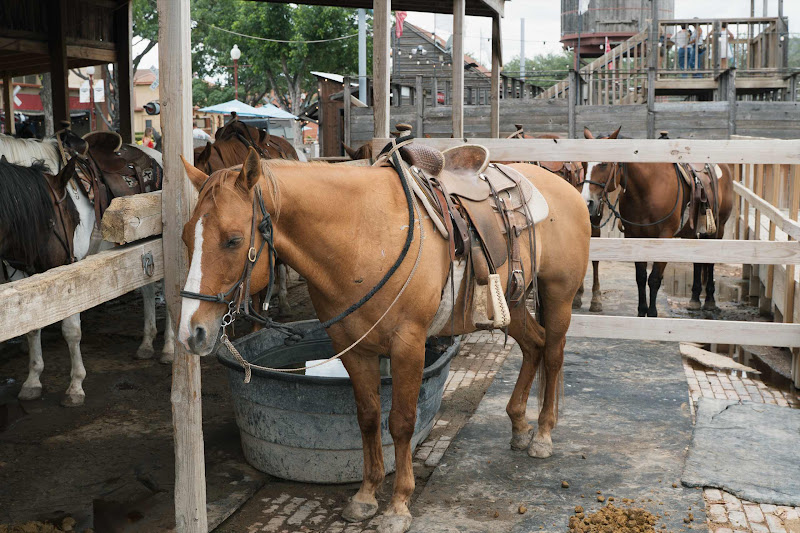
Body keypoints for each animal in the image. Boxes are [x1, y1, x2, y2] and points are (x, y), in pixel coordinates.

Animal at [0, 132, 174, 407]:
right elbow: (32, 326)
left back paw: (168, 349)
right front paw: (32, 381)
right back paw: (146, 343)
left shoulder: (71, 270)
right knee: (147, 290)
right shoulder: (25, 273)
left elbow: (71, 331)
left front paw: (75, 386)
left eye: (75, 219)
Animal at [177, 147, 590, 532]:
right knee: (534, 345)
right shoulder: (352, 347)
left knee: (553, 353)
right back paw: (519, 425)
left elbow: (402, 422)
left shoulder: (408, 345)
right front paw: (366, 495)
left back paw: (543, 435)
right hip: (511, 303)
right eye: (185, 236)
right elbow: (368, 417)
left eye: (233, 240)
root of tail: (565, 188)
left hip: (558, 296)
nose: (191, 332)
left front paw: (398, 505)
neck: (362, 236)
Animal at [581, 127, 734, 317]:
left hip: (718, 229)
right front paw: (641, 311)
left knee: (710, 261)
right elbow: (640, 277)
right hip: (694, 232)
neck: (649, 186)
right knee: (698, 261)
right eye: (583, 164)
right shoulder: (633, 235)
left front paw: (652, 313)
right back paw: (694, 299)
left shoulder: (664, 236)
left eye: (604, 164)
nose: (587, 202)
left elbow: (654, 278)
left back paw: (710, 301)